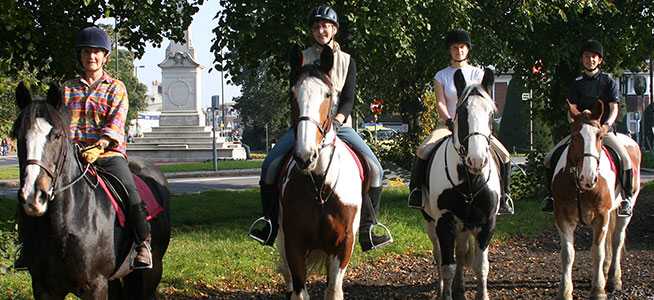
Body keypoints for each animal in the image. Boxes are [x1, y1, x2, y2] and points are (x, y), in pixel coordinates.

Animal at [13, 82, 172, 300]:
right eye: (18, 135)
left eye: (57, 135)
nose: (33, 197)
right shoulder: (43, 288)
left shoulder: (95, 286)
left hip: (151, 273)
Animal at [278, 45, 364, 298]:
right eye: (292, 94)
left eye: (327, 94)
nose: (305, 155)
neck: (319, 185)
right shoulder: (294, 244)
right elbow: (299, 290)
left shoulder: (343, 245)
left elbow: (333, 290)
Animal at [556, 101, 644, 300]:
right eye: (575, 135)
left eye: (600, 136)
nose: (588, 177)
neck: (580, 187)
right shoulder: (562, 217)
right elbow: (568, 254)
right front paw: (565, 291)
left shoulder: (601, 216)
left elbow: (597, 251)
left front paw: (598, 290)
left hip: (625, 210)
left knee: (617, 240)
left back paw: (613, 279)